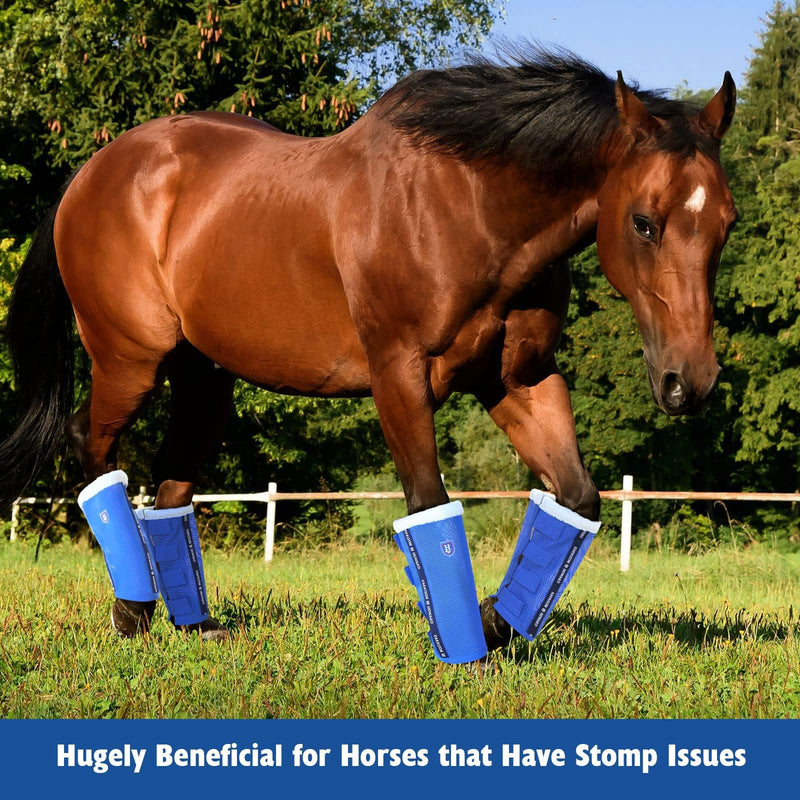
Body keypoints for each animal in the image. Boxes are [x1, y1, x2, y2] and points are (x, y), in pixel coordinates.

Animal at [0, 48, 737, 650]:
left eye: (727, 223)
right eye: (644, 222)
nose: (690, 382)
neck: (469, 207)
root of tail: (92, 172)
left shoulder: (520, 381)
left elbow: (577, 499)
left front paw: (498, 620)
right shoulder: (399, 376)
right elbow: (428, 504)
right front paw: (466, 648)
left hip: (205, 379)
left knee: (172, 484)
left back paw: (195, 624)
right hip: (130, 362)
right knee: (93, 451)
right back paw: (132, 610)